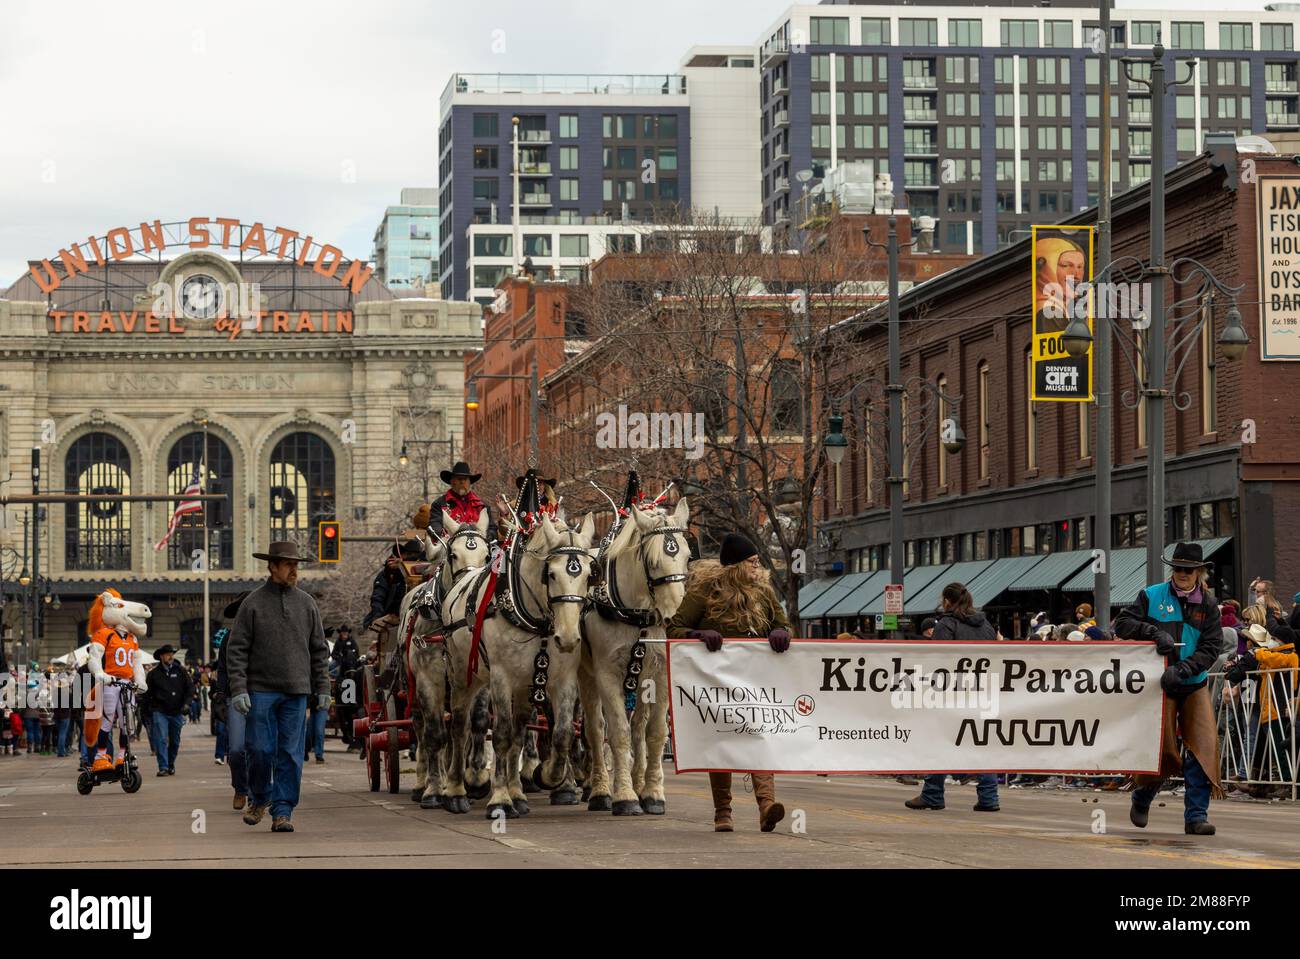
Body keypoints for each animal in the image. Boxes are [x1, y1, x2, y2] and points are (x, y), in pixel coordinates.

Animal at [439, 511, 595, 816]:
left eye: (587, 574)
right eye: (551, 574)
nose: (568, 638)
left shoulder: (563, 679)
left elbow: (561, 733)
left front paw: (547, 776)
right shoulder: (501, 678)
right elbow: (500, 735)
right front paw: (500, 798)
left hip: (524, 687)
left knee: (521, 731)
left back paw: (518, 793)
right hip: (463, 675)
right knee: (461, 727)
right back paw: (455, 791)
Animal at [579, 496, 691, 810]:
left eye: (688, 557)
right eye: (652, 562)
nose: (673, 618)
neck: (637, 615)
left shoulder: (660, 673)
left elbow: (654, 733)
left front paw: (651, 792)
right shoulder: (607, 673)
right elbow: (617, 733)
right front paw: (625, 796)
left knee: (639, 726)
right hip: (586, 675)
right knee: (595, 729)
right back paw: (600, 789)